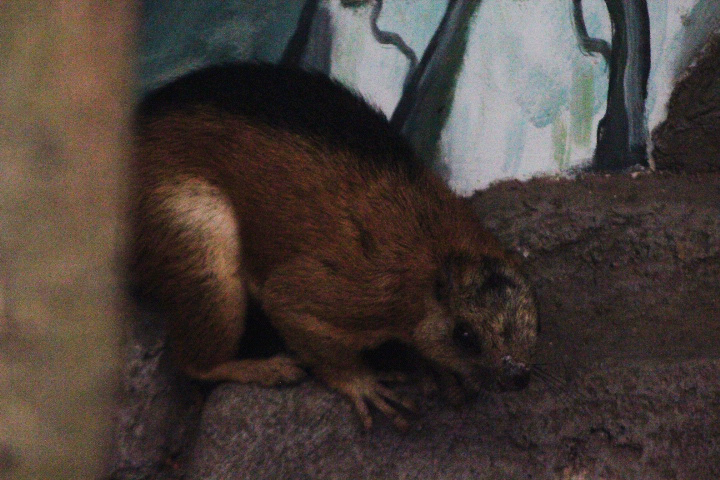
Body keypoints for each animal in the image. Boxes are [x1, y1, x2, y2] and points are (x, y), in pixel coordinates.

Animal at [131, 63, 538, 430]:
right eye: (465, 335)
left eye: (533, 316)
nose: (519, 376)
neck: (436, 245)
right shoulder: (343, 291)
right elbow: (309, 331)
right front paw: (366, 387)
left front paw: (439, 372)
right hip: (202, 240)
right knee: (193, 363)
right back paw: (269, 368)